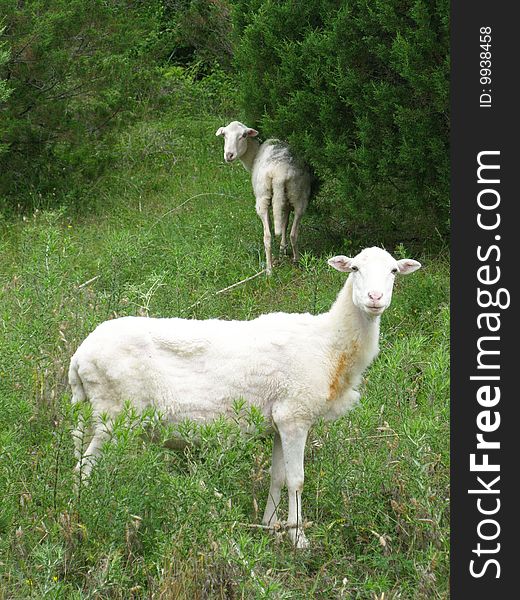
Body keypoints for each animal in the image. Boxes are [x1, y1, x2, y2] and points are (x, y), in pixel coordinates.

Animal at [68, 246, 422, 548]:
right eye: (355, 268)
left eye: (393, 270)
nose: (375, 298)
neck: (330, 345)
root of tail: (79, 357)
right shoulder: (295, 415)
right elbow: (297, 479)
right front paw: (299, 539)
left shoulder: (279, 420)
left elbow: (277, 476)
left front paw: (270, 526)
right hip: (117, 414)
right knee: (84, 469)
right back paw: (83, 516)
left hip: (98, 414)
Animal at [216, 120, 312, 276]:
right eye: (224, 135)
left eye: (243, 135)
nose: (229, 155)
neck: (253, 155)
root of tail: (279, 173)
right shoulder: (284, 202)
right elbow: (284, 224)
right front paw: (283, 250)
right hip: (298, 194)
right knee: (293, 232)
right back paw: (297, 261)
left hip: (262, 199)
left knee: (267, 237)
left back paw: (269, 270)